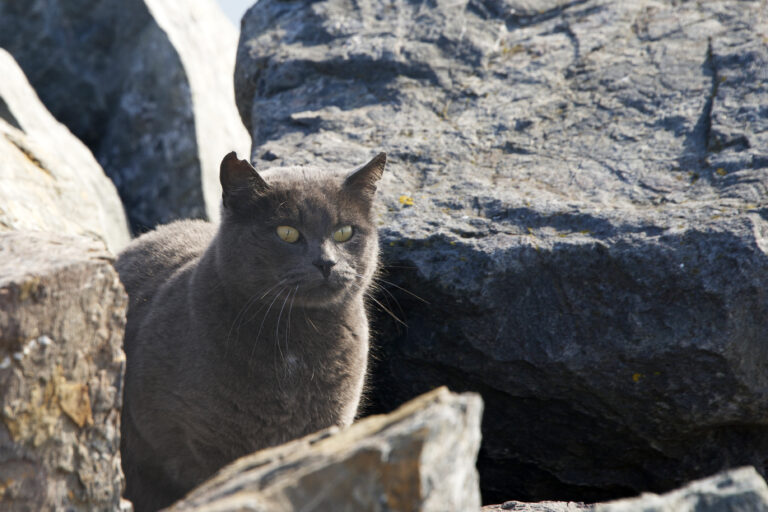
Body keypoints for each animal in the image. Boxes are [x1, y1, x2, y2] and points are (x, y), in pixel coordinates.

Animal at [116, 150, 388, 510]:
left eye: (345, 232)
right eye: (287, 232)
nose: (326, 262)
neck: (295, 340)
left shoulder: (331, 421)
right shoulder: (194, 444)